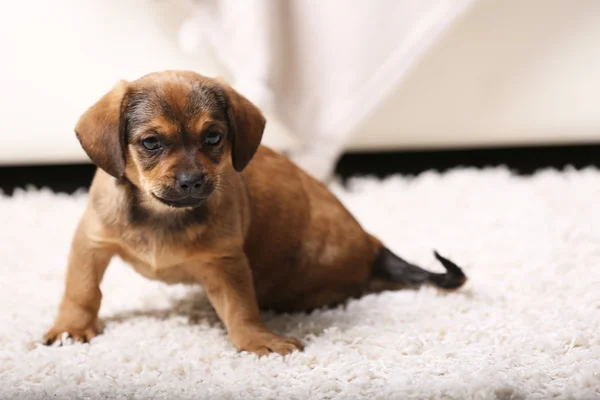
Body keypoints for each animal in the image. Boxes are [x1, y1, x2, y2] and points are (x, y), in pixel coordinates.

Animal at [44, 70, 466, 354]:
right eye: (150, 142)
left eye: (213, 137)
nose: (191, 182)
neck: (162, 215)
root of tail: (374, 246)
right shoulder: (91, 244)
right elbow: (81, 291)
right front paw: (71, 328)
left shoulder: (226, 263)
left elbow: (241, 308)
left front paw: (256, 340)